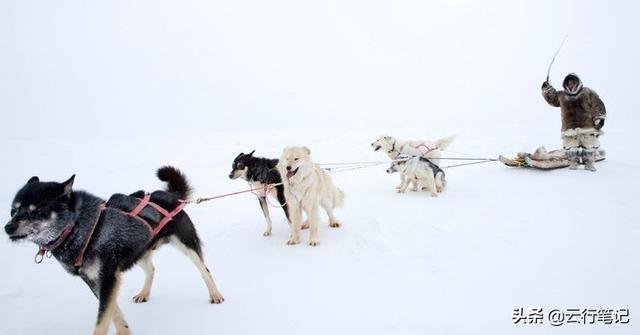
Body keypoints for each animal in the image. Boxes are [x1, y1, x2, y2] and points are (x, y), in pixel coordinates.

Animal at [5, 168, 224, 335]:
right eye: (13, 210)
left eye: (36, 210)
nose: (7, 227)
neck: (80, 228)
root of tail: (168, 195)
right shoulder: (97, 281)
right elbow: (113, 313)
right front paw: (124, 332)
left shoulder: (108, 278)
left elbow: (102, 320)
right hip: (139, 251)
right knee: (151, 269)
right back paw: (144, 293)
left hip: (186, 246)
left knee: (204, 270)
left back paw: (215, 295)